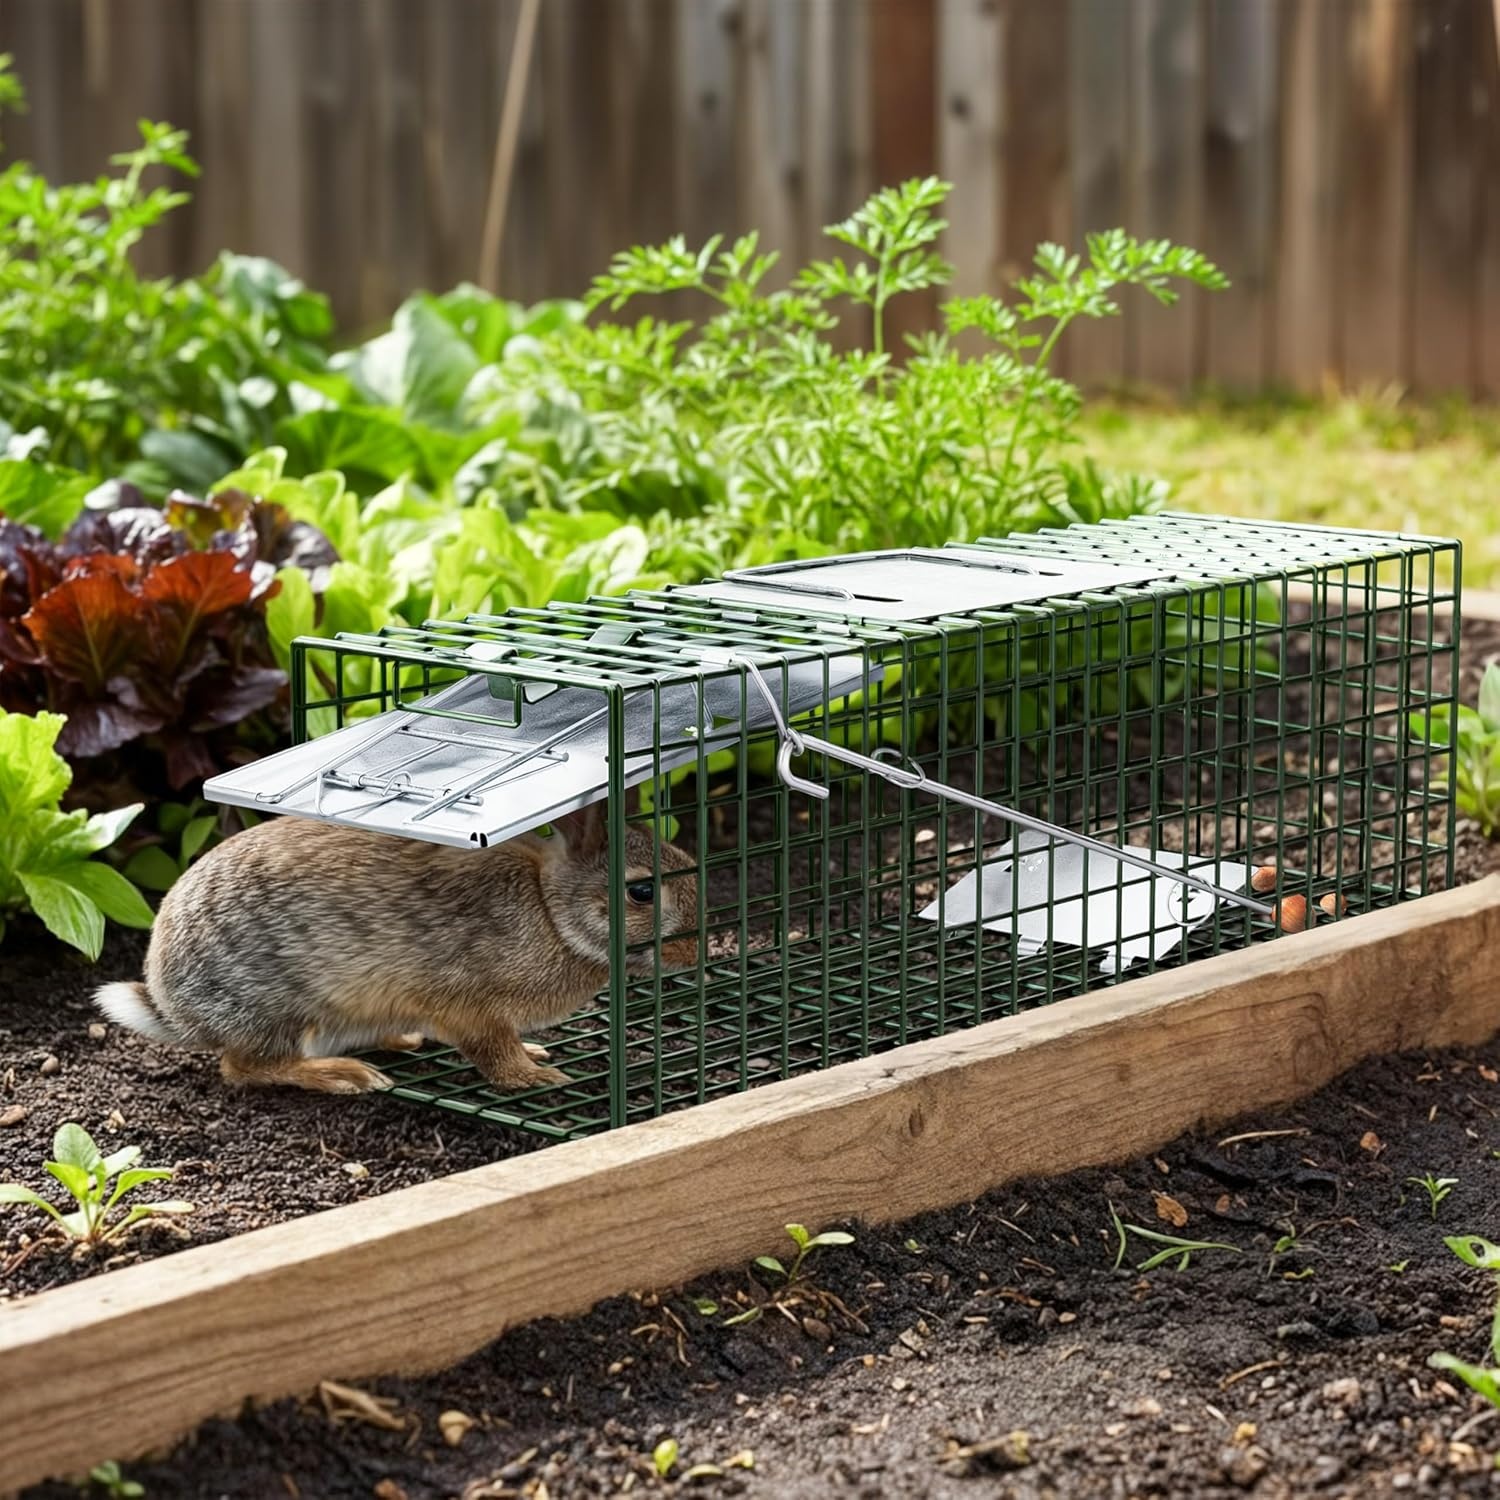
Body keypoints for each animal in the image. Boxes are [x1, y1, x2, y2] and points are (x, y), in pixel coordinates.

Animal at [94, 802, 700, 1096]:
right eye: (642, 892)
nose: (697, 954)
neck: (552, 910)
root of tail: (172, 1006)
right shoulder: (468, 1004)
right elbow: (492, 1051)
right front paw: (535, 1076)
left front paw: (537, 1054)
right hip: (276, 1007)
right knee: (243, 1066)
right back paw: (344, 1076)